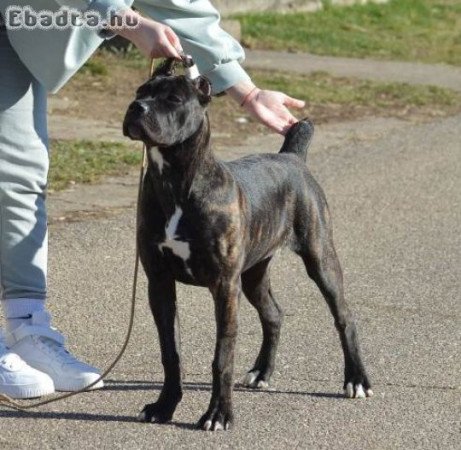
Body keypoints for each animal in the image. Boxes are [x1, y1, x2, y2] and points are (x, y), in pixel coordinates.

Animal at [124, 59, 372, 432]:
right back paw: (261, 371)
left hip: (320, 259)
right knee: (273, 314)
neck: (175, 182)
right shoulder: (160, 282)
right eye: (141, 91)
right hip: (254, 274)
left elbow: (222, 356)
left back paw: (356, 379)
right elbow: (171, 351)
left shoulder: (225, 286)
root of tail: (292, 158)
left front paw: (217, 414)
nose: (137, 108)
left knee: (344, 317)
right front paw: (165, 405)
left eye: (173, 99)